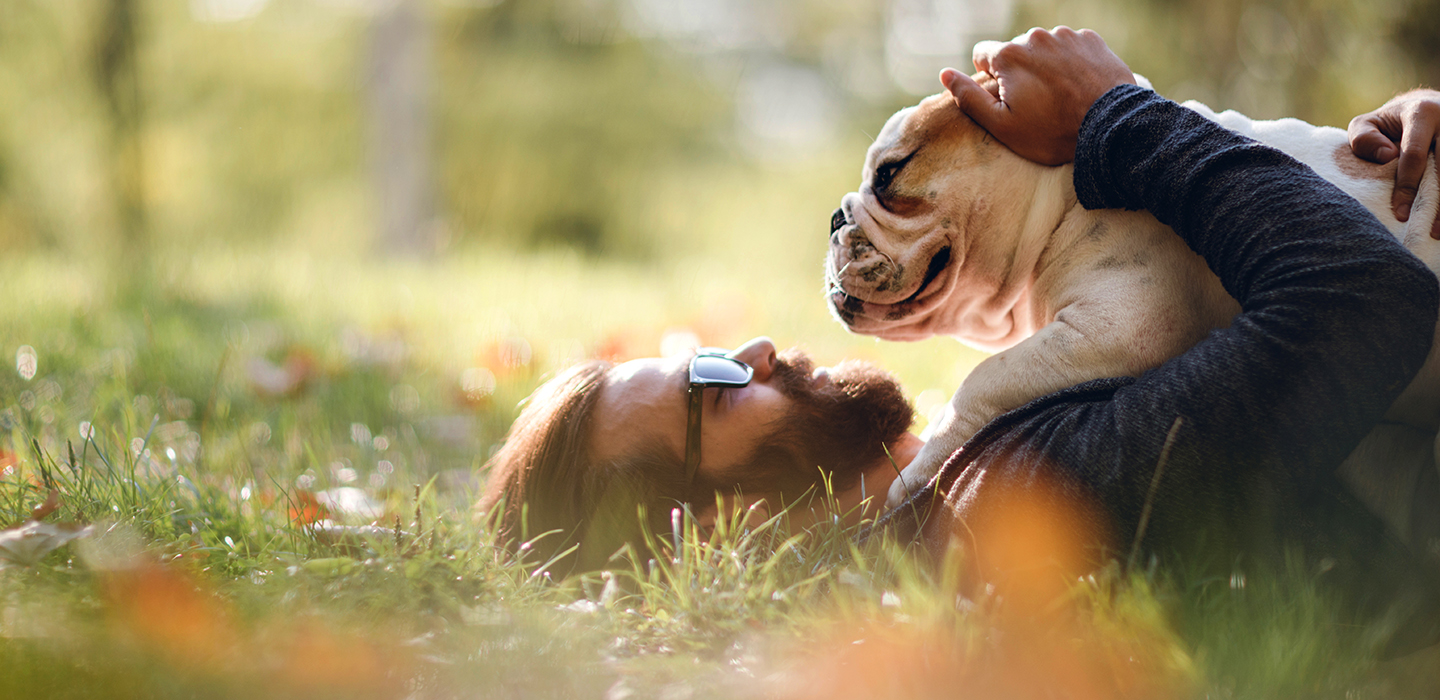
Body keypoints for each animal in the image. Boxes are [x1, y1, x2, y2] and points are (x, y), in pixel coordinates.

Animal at [829, 76, 1434, 512]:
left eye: (889, 174)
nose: (836, 219)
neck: (1064, 195)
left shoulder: (1121, 326)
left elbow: (984, 377)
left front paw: (914, 475)